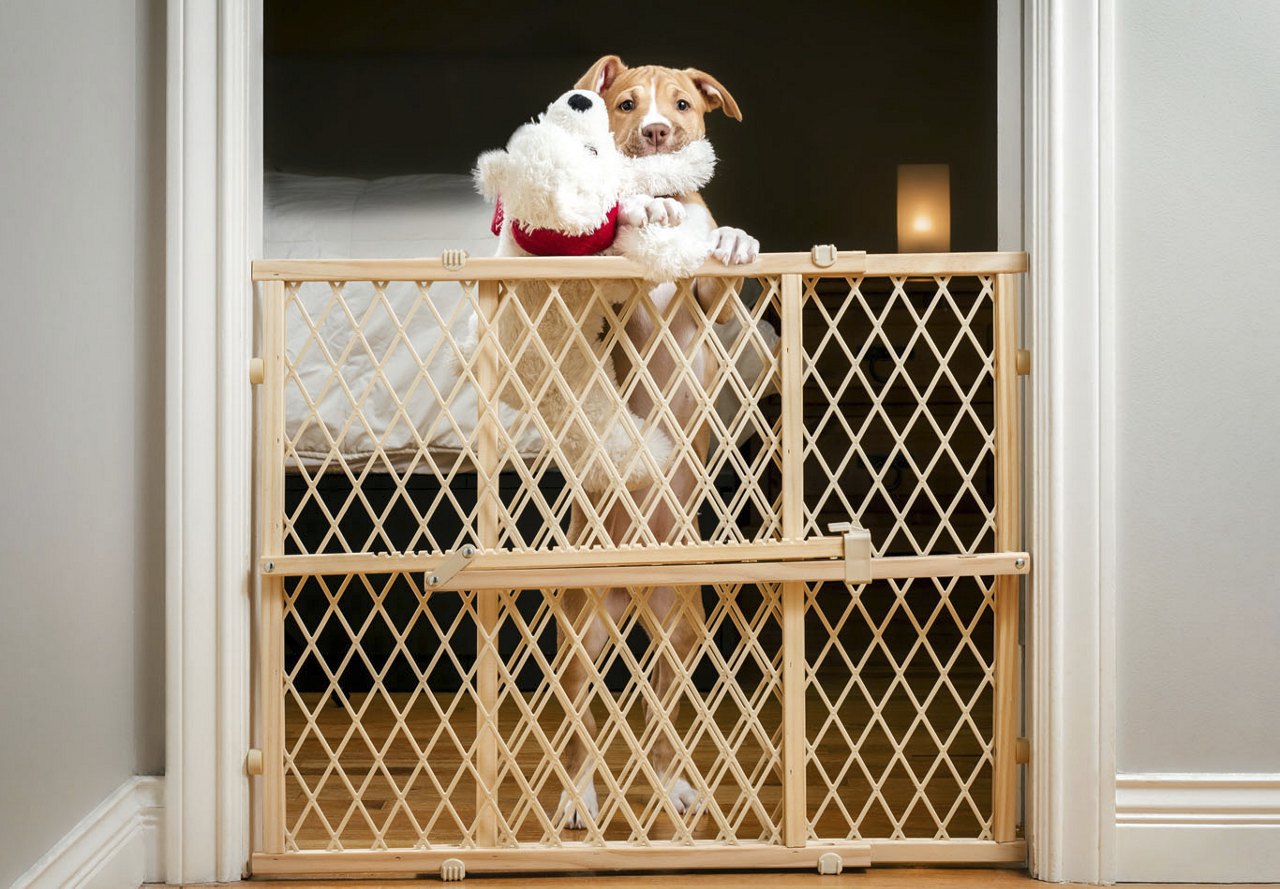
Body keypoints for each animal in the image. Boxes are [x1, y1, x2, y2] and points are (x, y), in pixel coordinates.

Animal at [560, 55, 757, 828]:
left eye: (681, 103)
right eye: (624, 103)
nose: (655, 132)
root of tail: (638, 585)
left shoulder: (715, 304)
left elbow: (717, 269)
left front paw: (733, 240)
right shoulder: (611, 298)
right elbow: (620, 250)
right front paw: (643, 214)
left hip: (684, 631)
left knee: (666, 719)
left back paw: (675, 787)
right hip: (583, 631)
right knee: (580, 727)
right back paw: (578, 798)